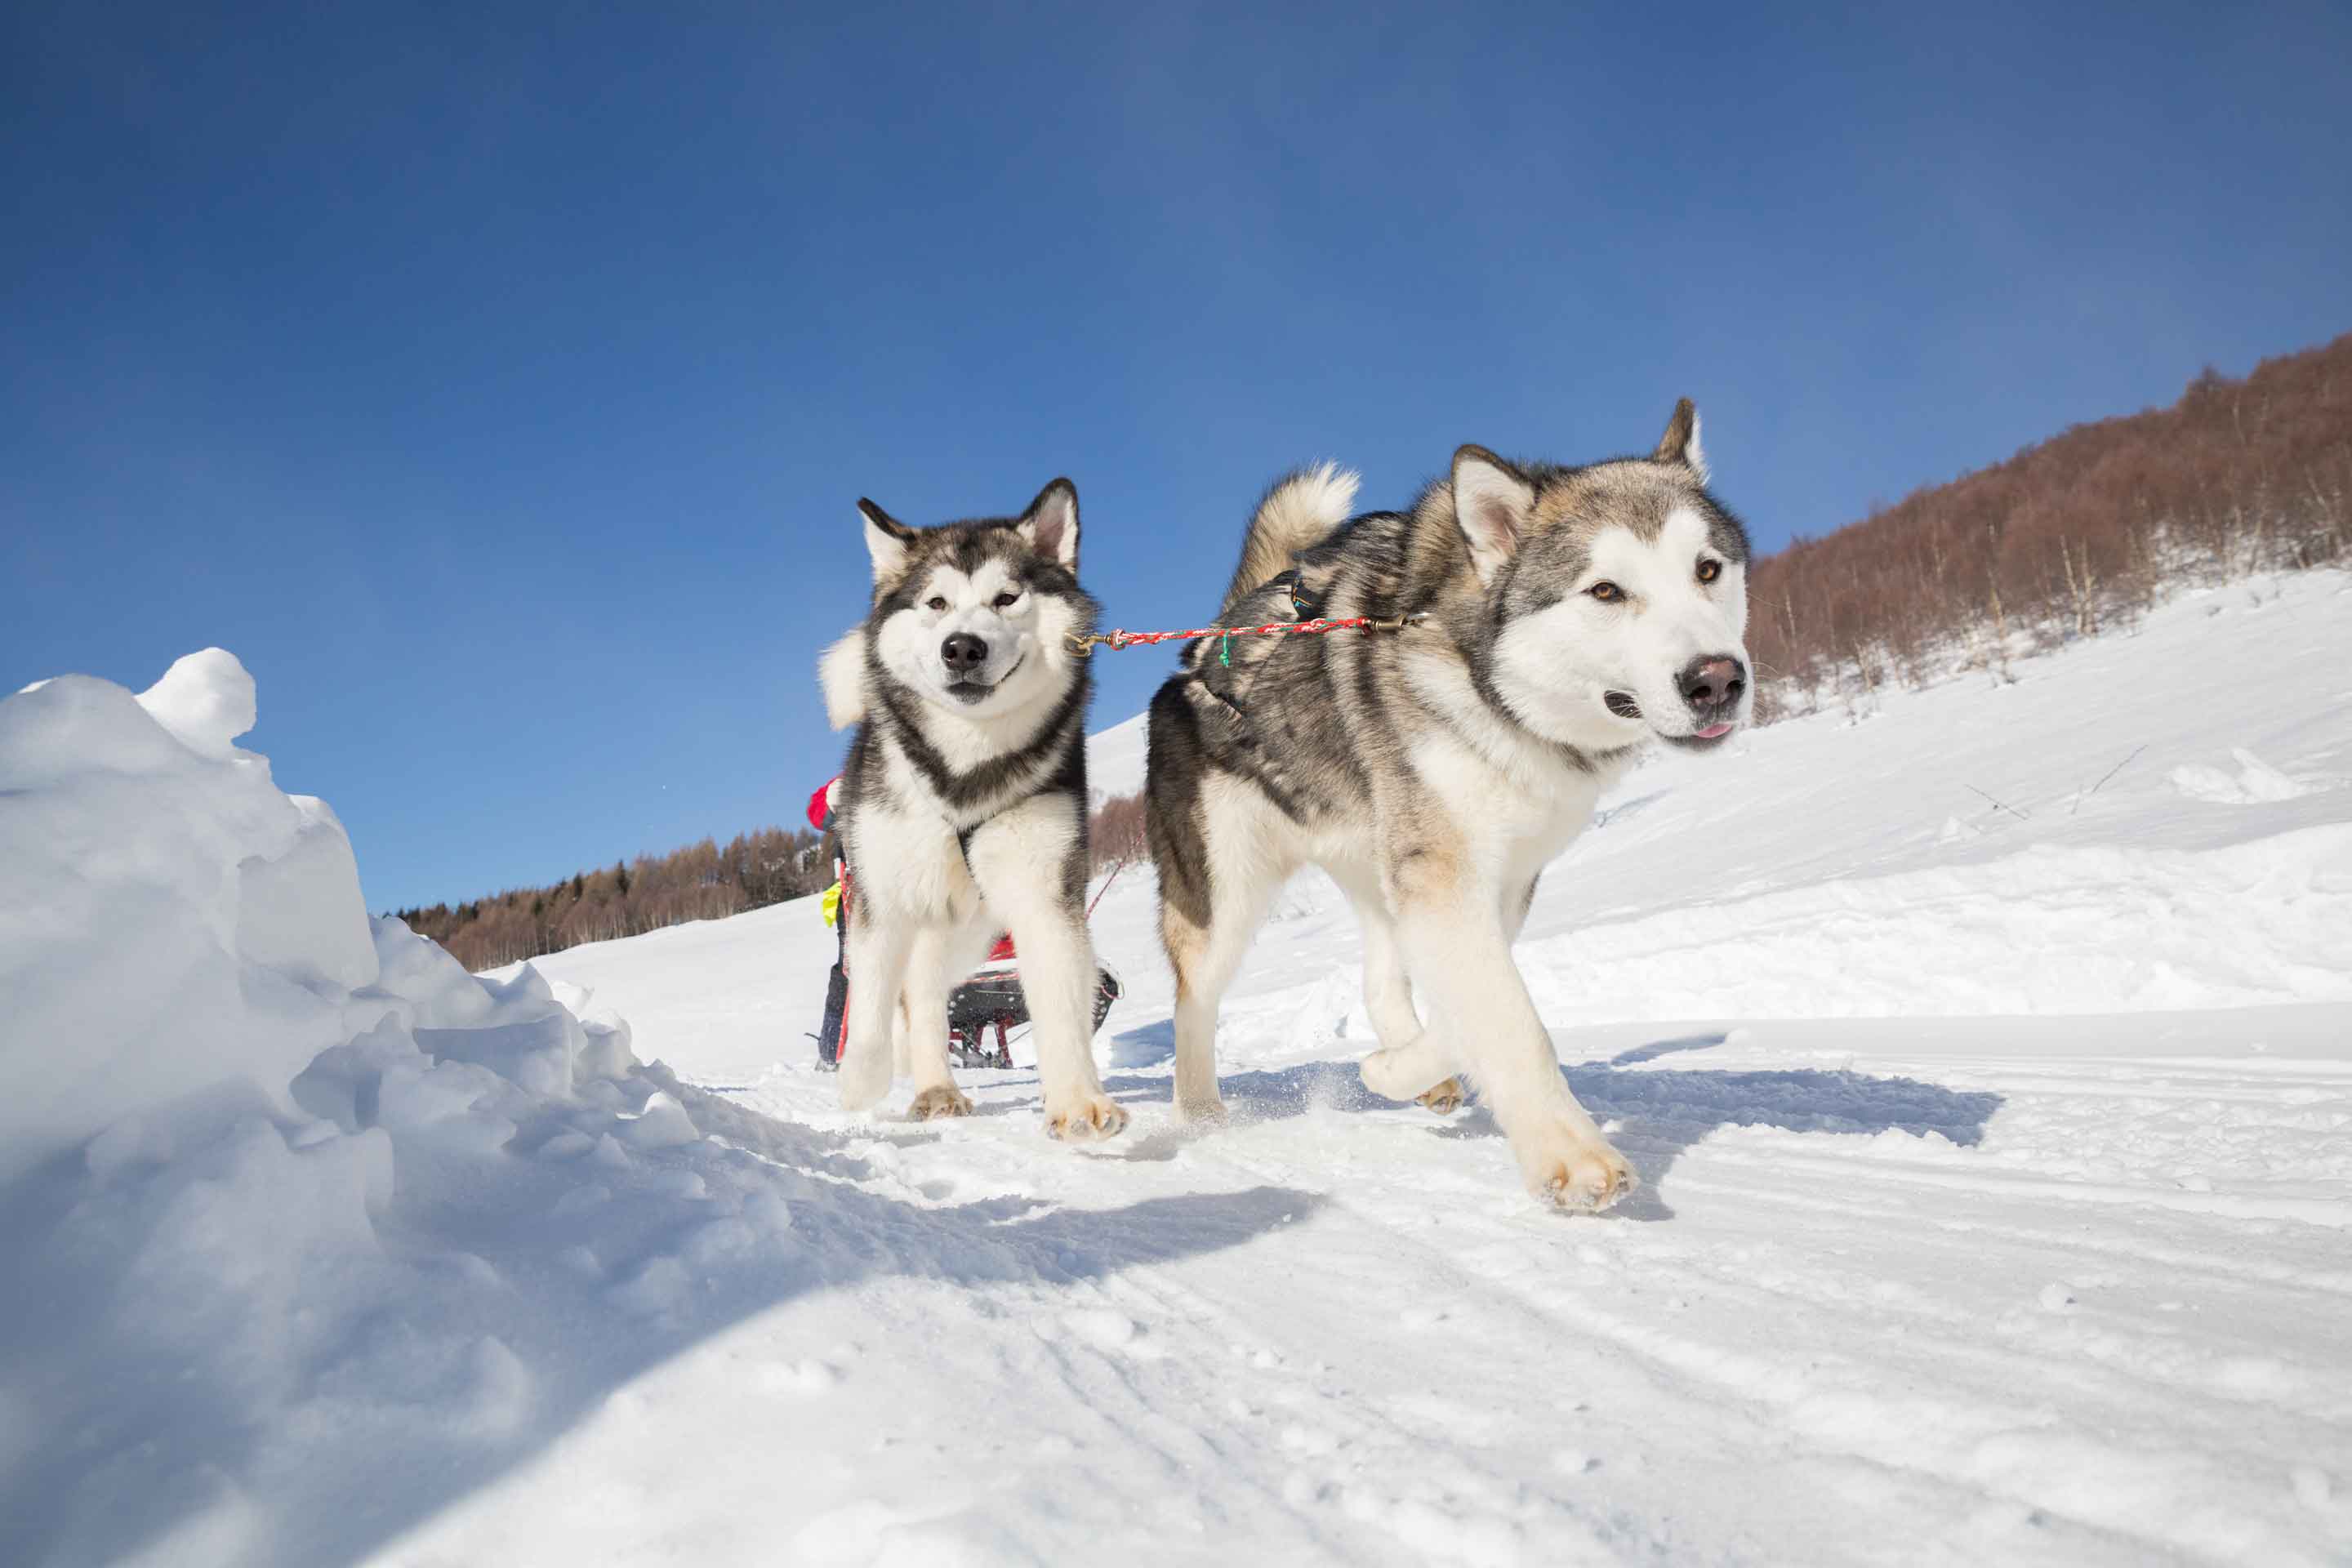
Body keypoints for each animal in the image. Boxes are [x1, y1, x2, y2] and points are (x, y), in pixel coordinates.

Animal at [818, 479, 1129, 1142]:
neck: (962, 772)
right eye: (936, 603)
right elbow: (872, 999)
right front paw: (861, 1081)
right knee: (905, 992)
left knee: (928, 990)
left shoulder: (1042, 890)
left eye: (1006, 598)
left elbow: (1060, 1000)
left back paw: (937, 1084)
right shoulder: (879, 896)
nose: (962, 647)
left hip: (969, 933)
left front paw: (1077, 1100)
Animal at [1138, 399, 1749, 1213]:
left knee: (1379, 973)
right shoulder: (1447, 879)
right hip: (1225, 898)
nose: (1717, 680)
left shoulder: (1494, 882)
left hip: (1375, 859)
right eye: (1605, 592)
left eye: (1708, 570)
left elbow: (1472, 1006)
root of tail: (1204, 651)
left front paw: (1396, 1070)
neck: (1485, 685)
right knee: (1193, 1000)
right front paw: (1573, 1157)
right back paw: (1200, 1113)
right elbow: (1512, 1020)